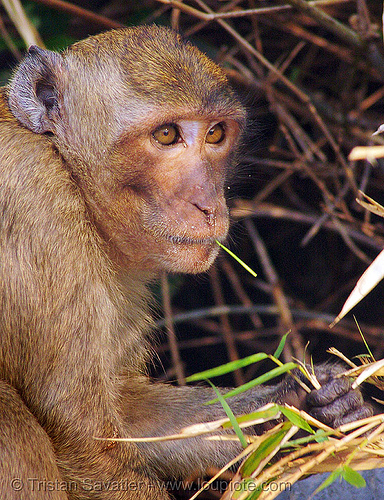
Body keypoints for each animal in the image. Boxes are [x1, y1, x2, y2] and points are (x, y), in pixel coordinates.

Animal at [0, 24, 372, 500]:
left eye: (215, 134)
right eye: (166, 135)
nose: (209, 205)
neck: (65, 166)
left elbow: (133, 419)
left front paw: (314, 404)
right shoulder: (34, 203)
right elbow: (89, 448)